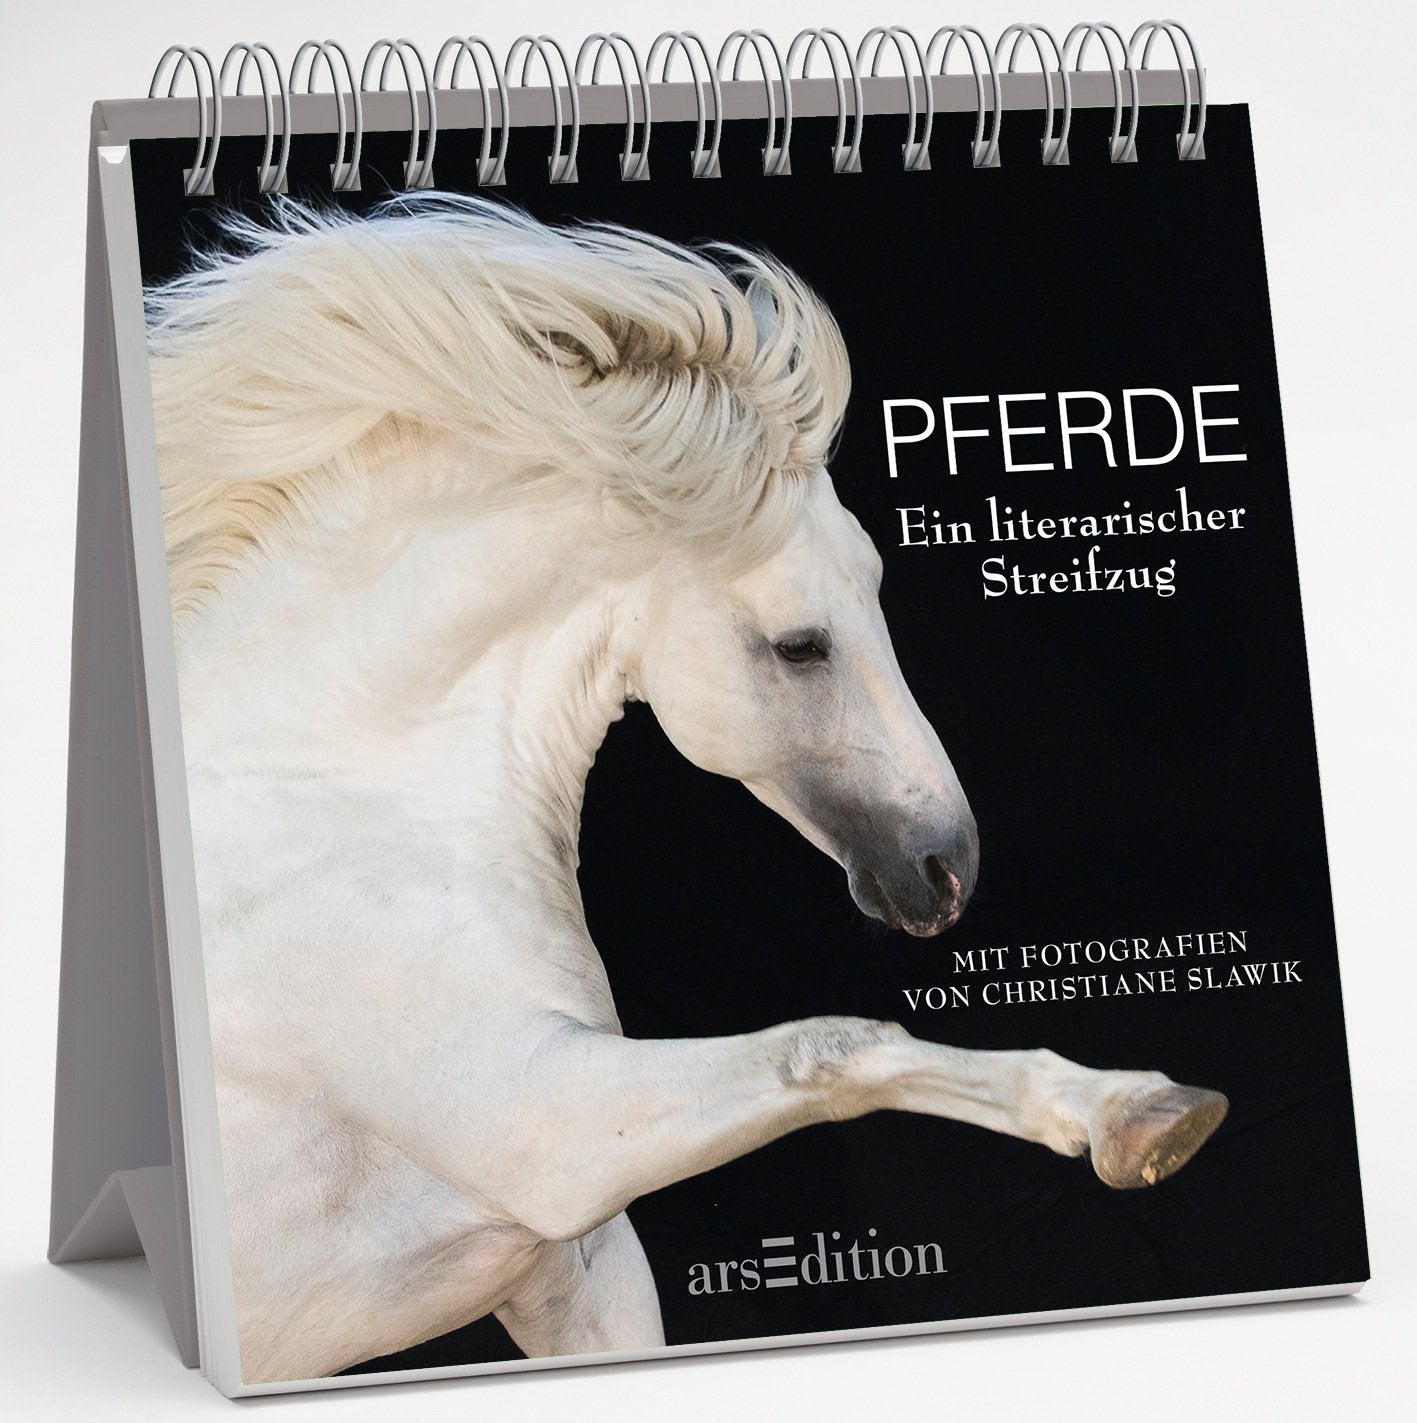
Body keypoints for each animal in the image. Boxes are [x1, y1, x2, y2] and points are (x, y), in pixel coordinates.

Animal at [147, 196, 1228, 1382]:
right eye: (800, 645)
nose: (947, 864)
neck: (338, 796)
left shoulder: (573, 1266)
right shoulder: (543, 1134)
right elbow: (834, 1044)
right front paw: (1135, 1111)